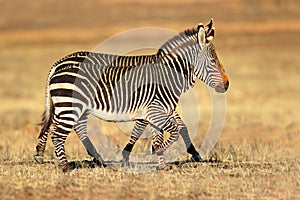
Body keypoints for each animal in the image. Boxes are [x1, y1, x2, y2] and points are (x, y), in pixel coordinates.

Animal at [35, 20, 229, 172]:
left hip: (72, 107)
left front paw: (162, 161)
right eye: (213, 61)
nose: (226, 85)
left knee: (70, 128)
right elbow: (169, 131)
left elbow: (168, 130)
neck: (168, 75)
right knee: (57, 132)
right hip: (70, 106)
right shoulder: (154, 110)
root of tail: (59, 64)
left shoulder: (156, 111)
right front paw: (151, 152)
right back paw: (64, 165)